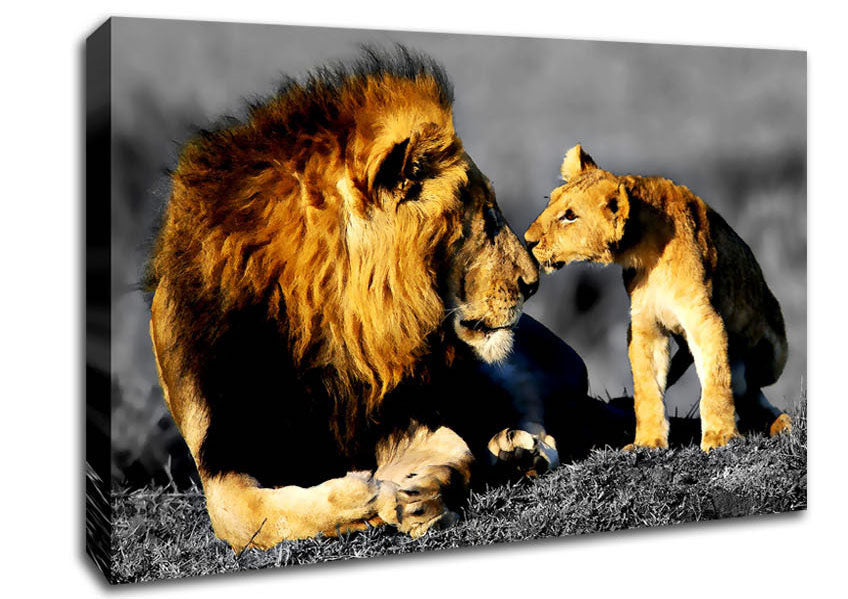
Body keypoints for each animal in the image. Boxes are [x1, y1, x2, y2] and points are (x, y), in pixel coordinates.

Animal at [145, 49, 604, 551]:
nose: (532, 282)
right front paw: (365, 499)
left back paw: (520, 450)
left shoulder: (404, 410)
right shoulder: (222, 448)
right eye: (486, 216)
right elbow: (241, 517)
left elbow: (449, 448)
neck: (321, 327)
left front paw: (417, 488)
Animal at [524, 144, 791, 452]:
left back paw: (780, 422)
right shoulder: (644, 324)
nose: (527, 240)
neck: (644, 250)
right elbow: (647, 388)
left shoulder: (704, 319)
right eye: (550, 201)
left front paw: (720, 437)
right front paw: (647, 442)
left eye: (570, 216)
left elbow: (716, 381)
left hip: (772, 354)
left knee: (750, 385)